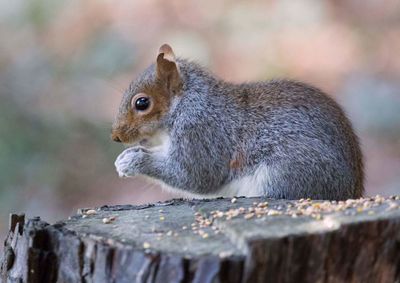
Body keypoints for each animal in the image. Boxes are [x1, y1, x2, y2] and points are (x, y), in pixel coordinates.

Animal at [111, 43, 364, 201]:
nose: (116, 136)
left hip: (290, 171)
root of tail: (351, 191)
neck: (184, 104)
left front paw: (132, 161)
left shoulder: (201, 132)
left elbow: (194, 175)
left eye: (142, 103)